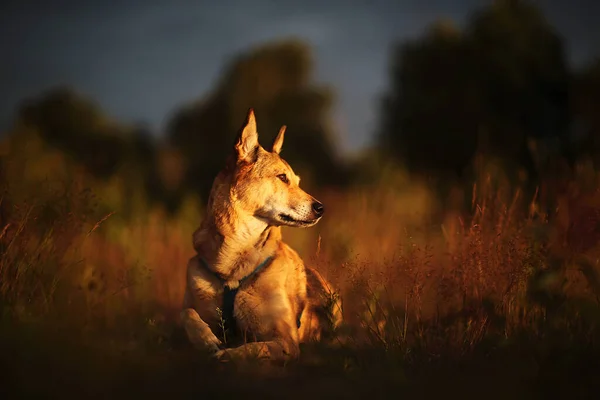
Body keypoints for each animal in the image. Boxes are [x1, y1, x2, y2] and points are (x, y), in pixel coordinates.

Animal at [179, 108, 342, 360]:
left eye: (297, 181)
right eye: (282, 178)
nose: (320, 208)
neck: (233, 263)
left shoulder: (285, 340)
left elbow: (252, 348)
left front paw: (227, 354)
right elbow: (186, 314)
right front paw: (207, 339)